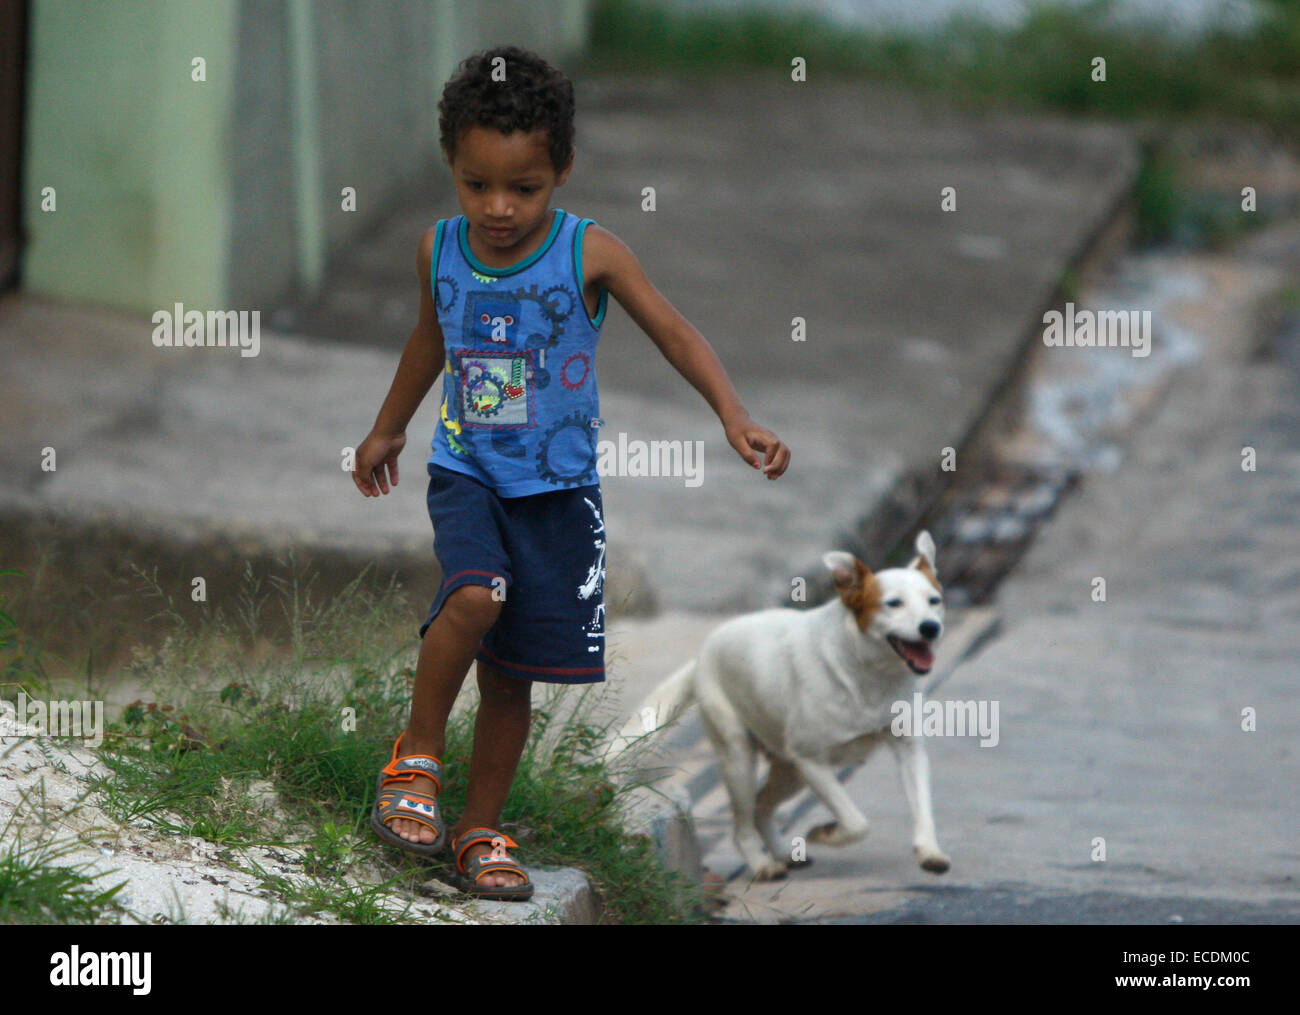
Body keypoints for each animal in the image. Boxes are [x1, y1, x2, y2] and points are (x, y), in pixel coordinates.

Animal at [611, 530, 956, 878]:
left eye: (934, 601)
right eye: (893, 604)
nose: (931, 627)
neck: (868, 671)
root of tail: (701, 657)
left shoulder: (908, 749)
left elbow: (921, 806)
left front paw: (929, 852)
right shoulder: (810, 759)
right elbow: (856, 822)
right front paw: (828, 832)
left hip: (788, 771)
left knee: (762, 807)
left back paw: (781, 853)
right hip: (740, 757)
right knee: (743, 822)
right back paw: (762, 864)